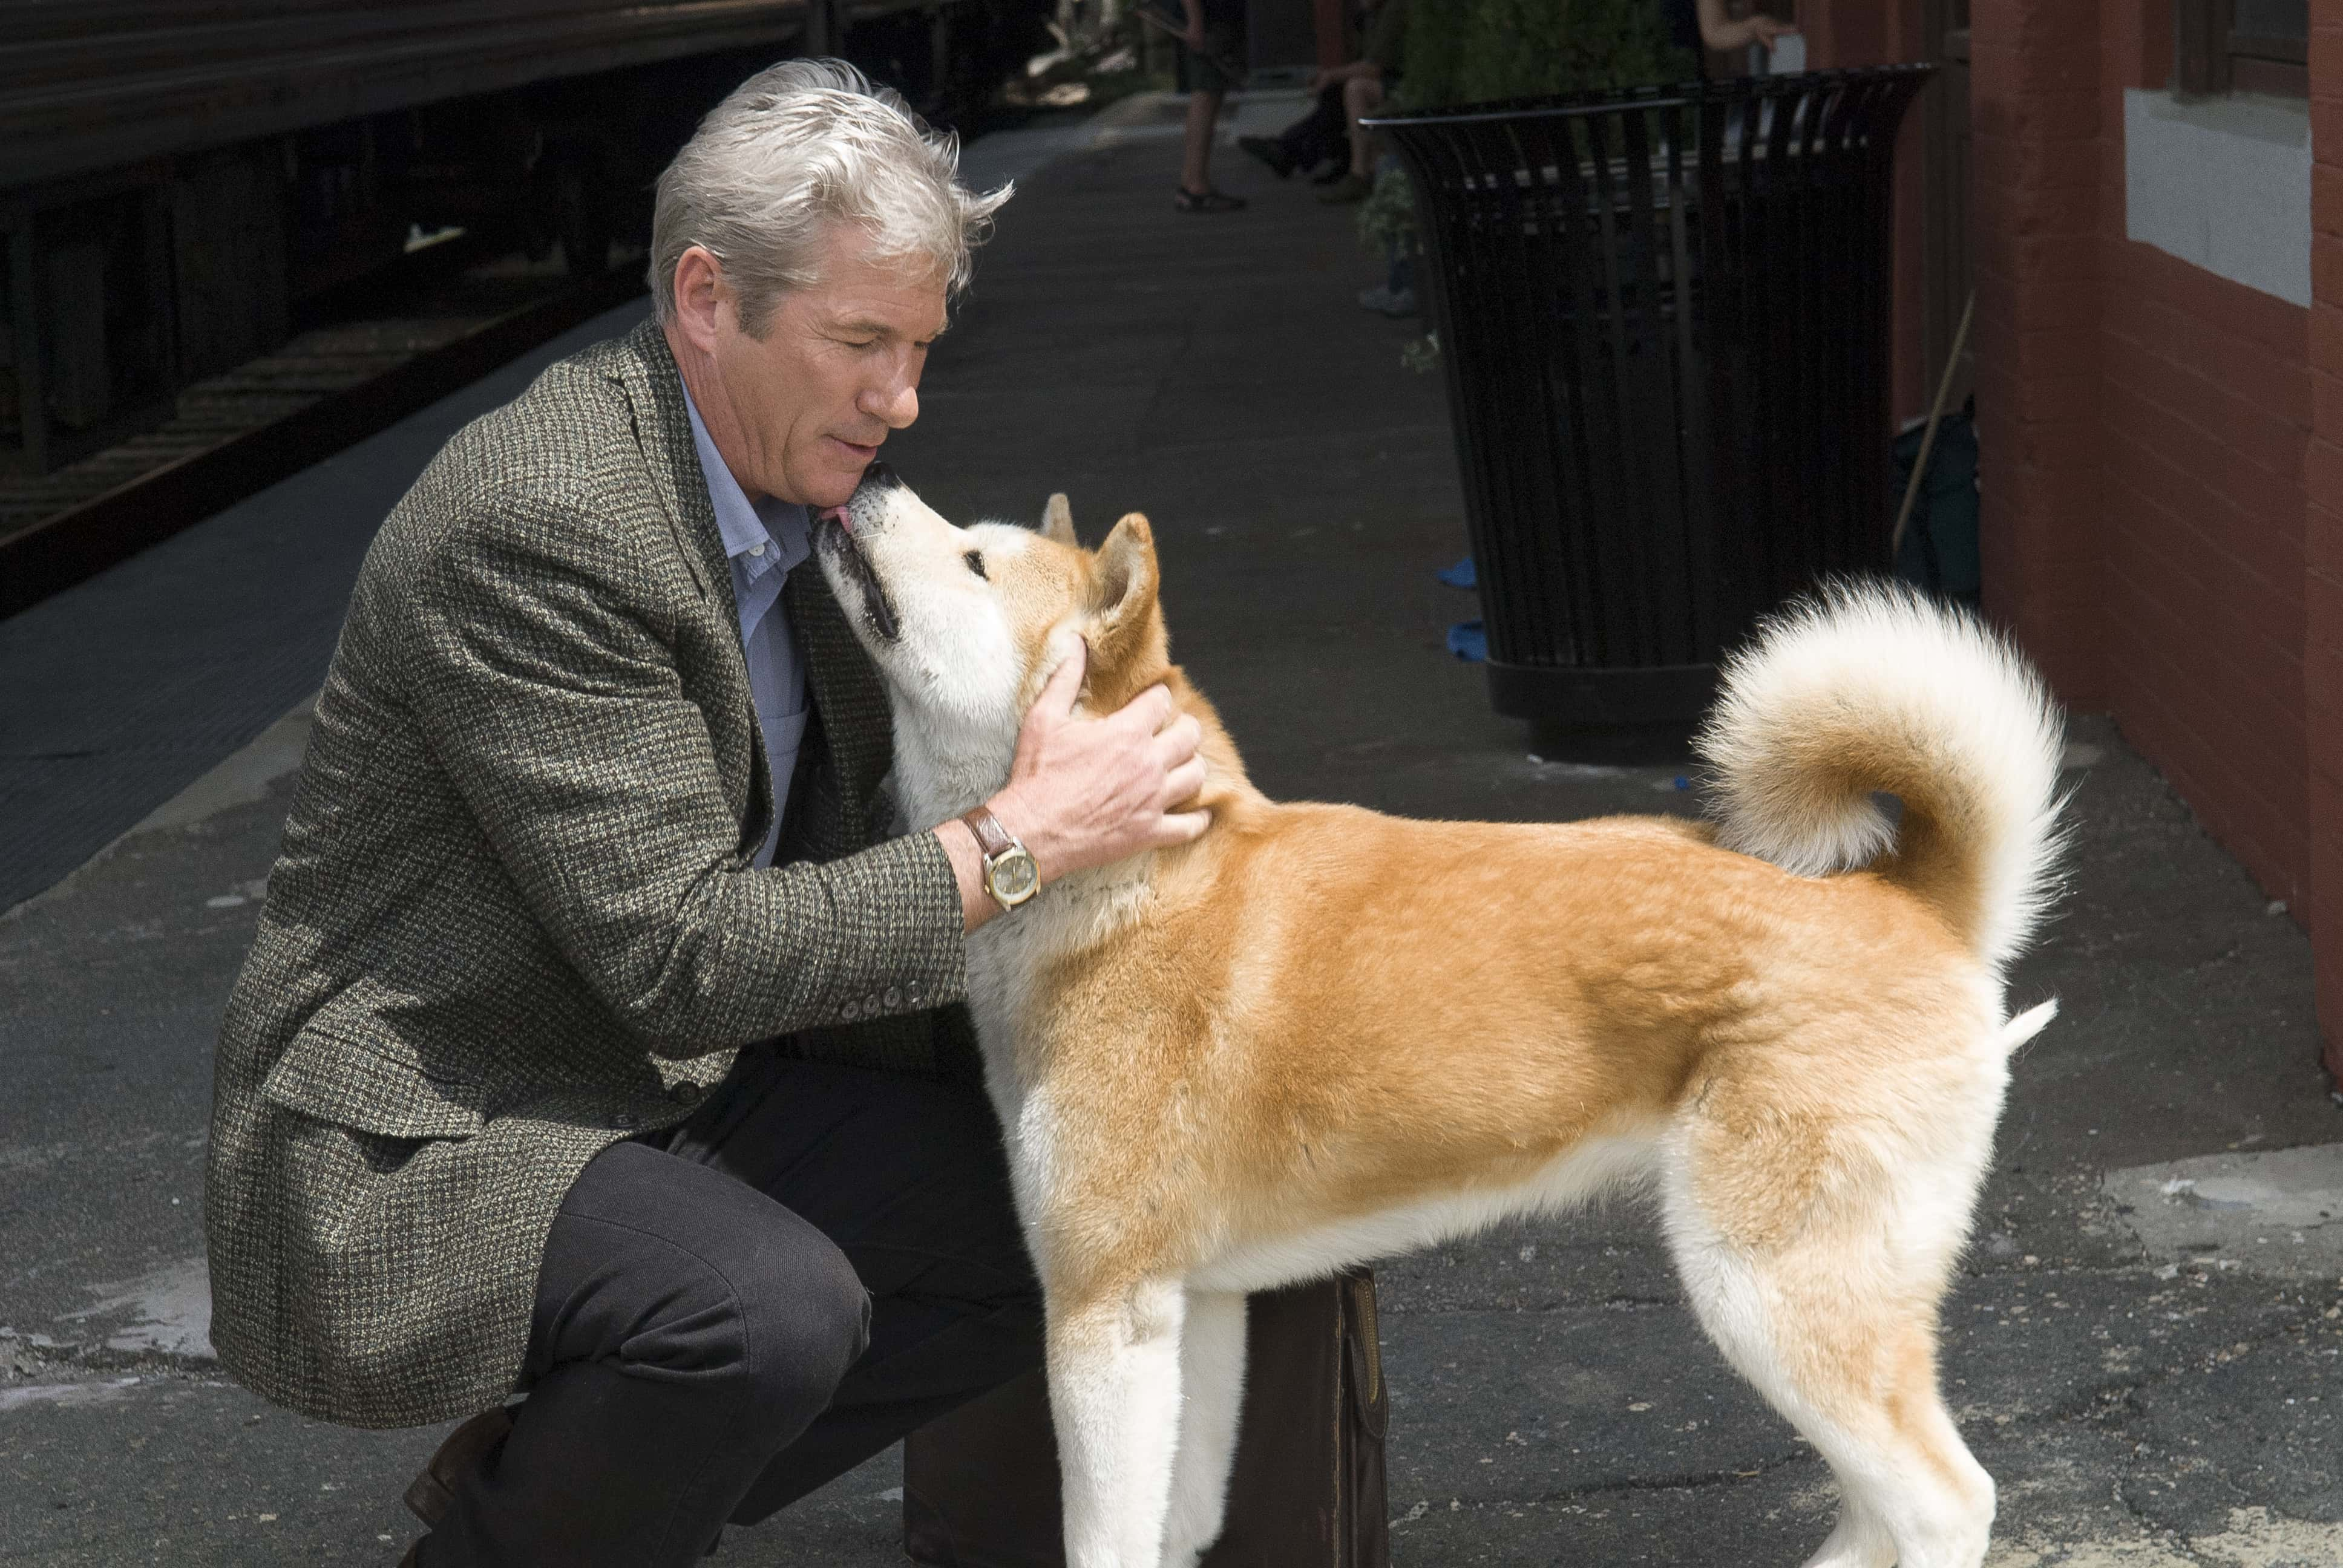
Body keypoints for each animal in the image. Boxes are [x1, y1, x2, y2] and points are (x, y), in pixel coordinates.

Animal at [815, 468, 2062, 1566]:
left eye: (975, 561)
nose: (864, 486)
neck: (1135, 885)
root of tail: (1913, 902)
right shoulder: (1190, 1310)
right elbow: (1182, 1525)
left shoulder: (1101, 1313)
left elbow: (1104, 1542)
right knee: (1879, 1511)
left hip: (1768, 1296)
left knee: (1945, 1506)